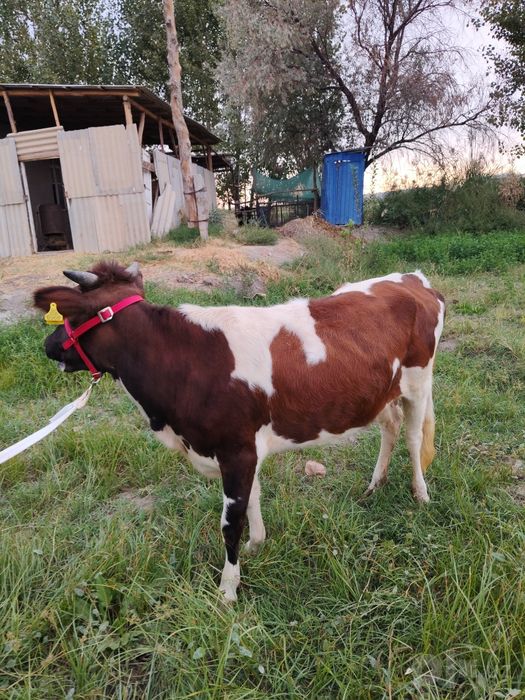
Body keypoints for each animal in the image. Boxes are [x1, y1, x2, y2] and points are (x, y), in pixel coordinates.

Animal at [34, 261, 445, 601]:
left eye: (72, 315)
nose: (48, 345)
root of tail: (413, 279)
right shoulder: (246, 448)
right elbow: (252, 501)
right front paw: (256, 547)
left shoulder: (237, 450)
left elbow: (231, 523)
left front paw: (228, 590)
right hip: (382, 391)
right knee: (390, 426)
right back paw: (375, 484)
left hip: (419, 381)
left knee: (413, 437)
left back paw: (421, 494)